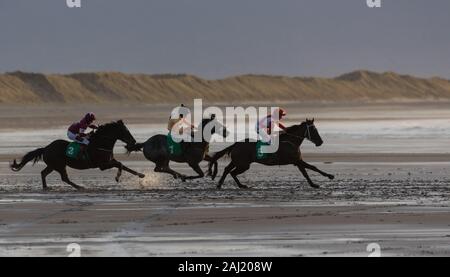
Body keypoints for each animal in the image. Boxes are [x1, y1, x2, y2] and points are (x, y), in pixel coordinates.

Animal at [9, 119, 144, 191]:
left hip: (53, 165)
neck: (100, 143)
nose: (133, 141)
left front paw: (142, 175)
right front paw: (117, 177)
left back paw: (46, 187)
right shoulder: (102, 165)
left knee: (44, 173)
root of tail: (46, 148)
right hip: (59, 165)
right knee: (64, 178)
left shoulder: (109, 161)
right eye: (125, 131)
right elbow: (120, 164)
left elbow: (125, 166)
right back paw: (80, 187)